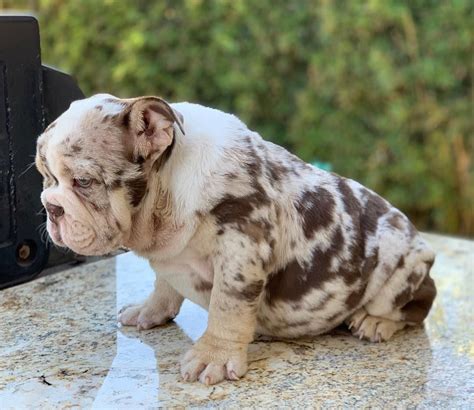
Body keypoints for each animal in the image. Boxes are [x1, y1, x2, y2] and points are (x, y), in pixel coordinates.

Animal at [37, 94, 436, 386]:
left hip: (403, 259)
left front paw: (212, 356)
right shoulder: (171, 253)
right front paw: (150, 311)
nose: (50, 206)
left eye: (84, 182)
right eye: (45, 177)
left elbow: (227, 306)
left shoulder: (241, 243)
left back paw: (375, 321)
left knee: (413, 306)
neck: (168, 195)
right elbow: (164, 284)